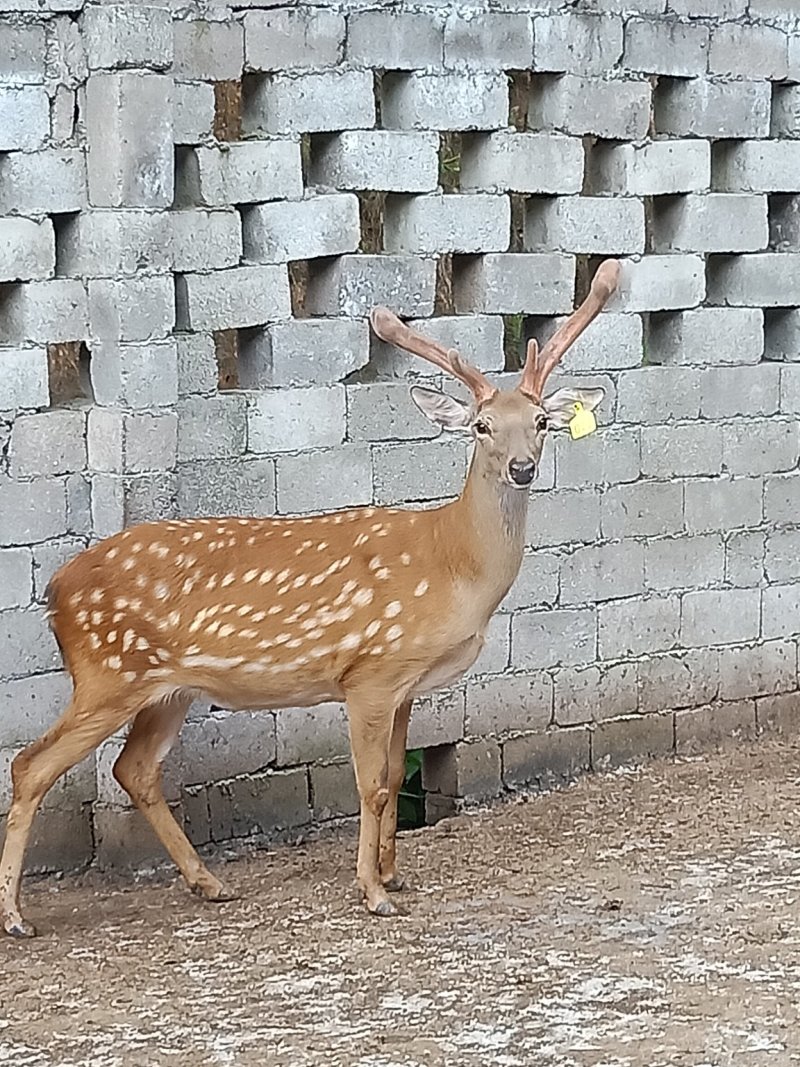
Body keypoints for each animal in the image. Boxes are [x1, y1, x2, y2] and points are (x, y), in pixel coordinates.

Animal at [0, 258, 618, 934]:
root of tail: (55, 589)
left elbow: (393, 778)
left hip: (167, 689)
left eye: (540, 423)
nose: (521, 468)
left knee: (132, 769)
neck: (451, 563)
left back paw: (209, 883)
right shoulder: (369, 673)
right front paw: (371, 891)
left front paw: (393, 875)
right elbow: (373, 785)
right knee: (31, 765)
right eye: (482, 426)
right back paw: (16, 915)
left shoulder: (404, 685)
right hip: (108, 671)